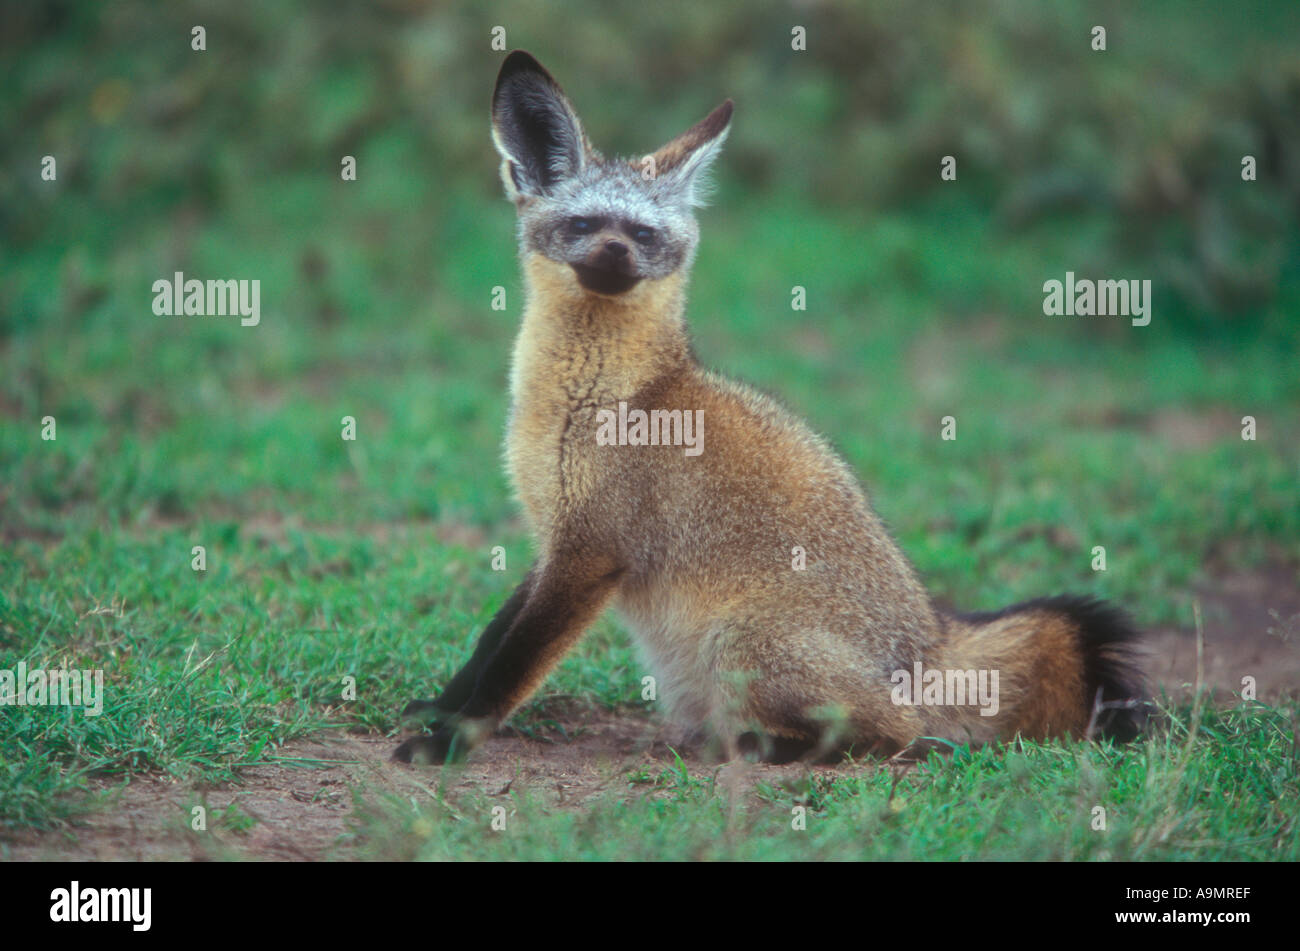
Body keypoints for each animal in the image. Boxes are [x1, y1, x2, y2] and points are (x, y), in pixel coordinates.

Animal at [394, 51, 1147, 766]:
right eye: (583, 224)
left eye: (643, 235)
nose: (613, 254)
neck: (602, 396)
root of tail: (930, 643)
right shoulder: (553, 540)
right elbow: (490, 643)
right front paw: (439, 709)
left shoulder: (589, 553)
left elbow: (512, 667)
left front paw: (448, 742)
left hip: (737, 642)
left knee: (902, 735)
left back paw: (763, 747)